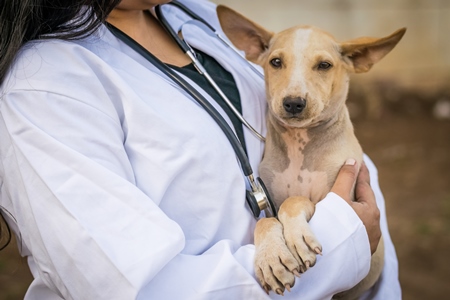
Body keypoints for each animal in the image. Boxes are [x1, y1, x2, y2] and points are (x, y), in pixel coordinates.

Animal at [216, 5, 406, 300]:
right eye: (276, 62)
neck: (300, 146)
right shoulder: (269, 204)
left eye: (324, 65)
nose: (293, 103)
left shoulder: (337, 196)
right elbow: (264, 223)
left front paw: (298, 239)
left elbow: (294, 201)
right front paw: (271, 258)